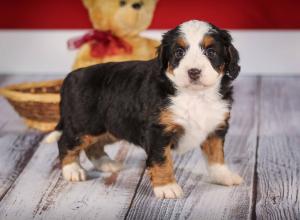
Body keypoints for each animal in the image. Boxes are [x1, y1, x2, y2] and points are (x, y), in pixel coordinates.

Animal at [45, 20, 243, 199]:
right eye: (179, 52)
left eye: (211, 52)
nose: (193, 72)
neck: (194, 96)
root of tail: (71, 76)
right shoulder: (158, 131)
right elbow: (162, 160)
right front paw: (167, 187)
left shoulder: (215, 128)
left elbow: (216, 156)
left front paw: (224, 176)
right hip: (84, 124)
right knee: (66, 142)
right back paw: (73, 170)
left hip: (112, 126)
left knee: (94, 145)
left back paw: (106, 164)